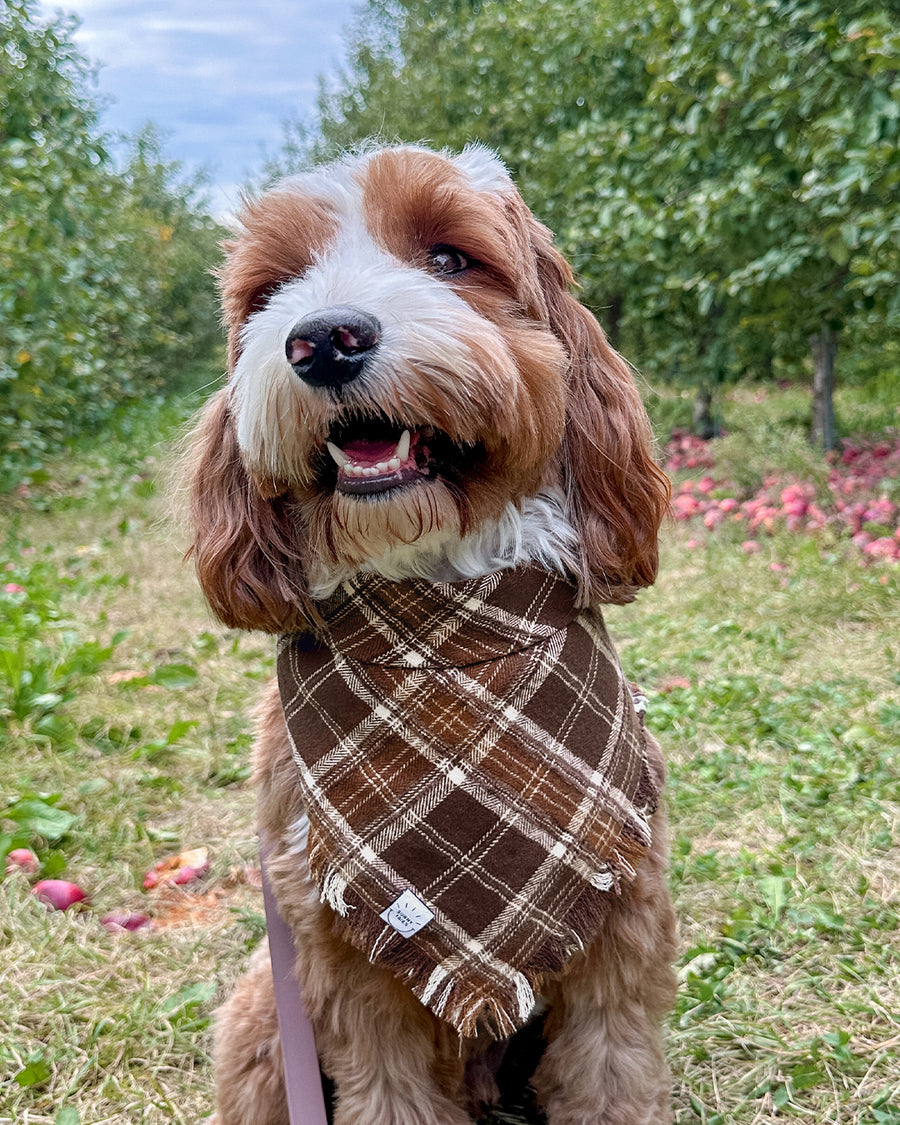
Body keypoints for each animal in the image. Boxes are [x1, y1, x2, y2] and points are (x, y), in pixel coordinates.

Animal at [187, 145, 675, 1125]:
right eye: (274, 288)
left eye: (450, 258)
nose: (323, 338)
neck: (443, 640)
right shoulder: (337, 946)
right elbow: (389, 1084)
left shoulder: (625, 909)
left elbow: (611, 1072)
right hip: (266, 1018)